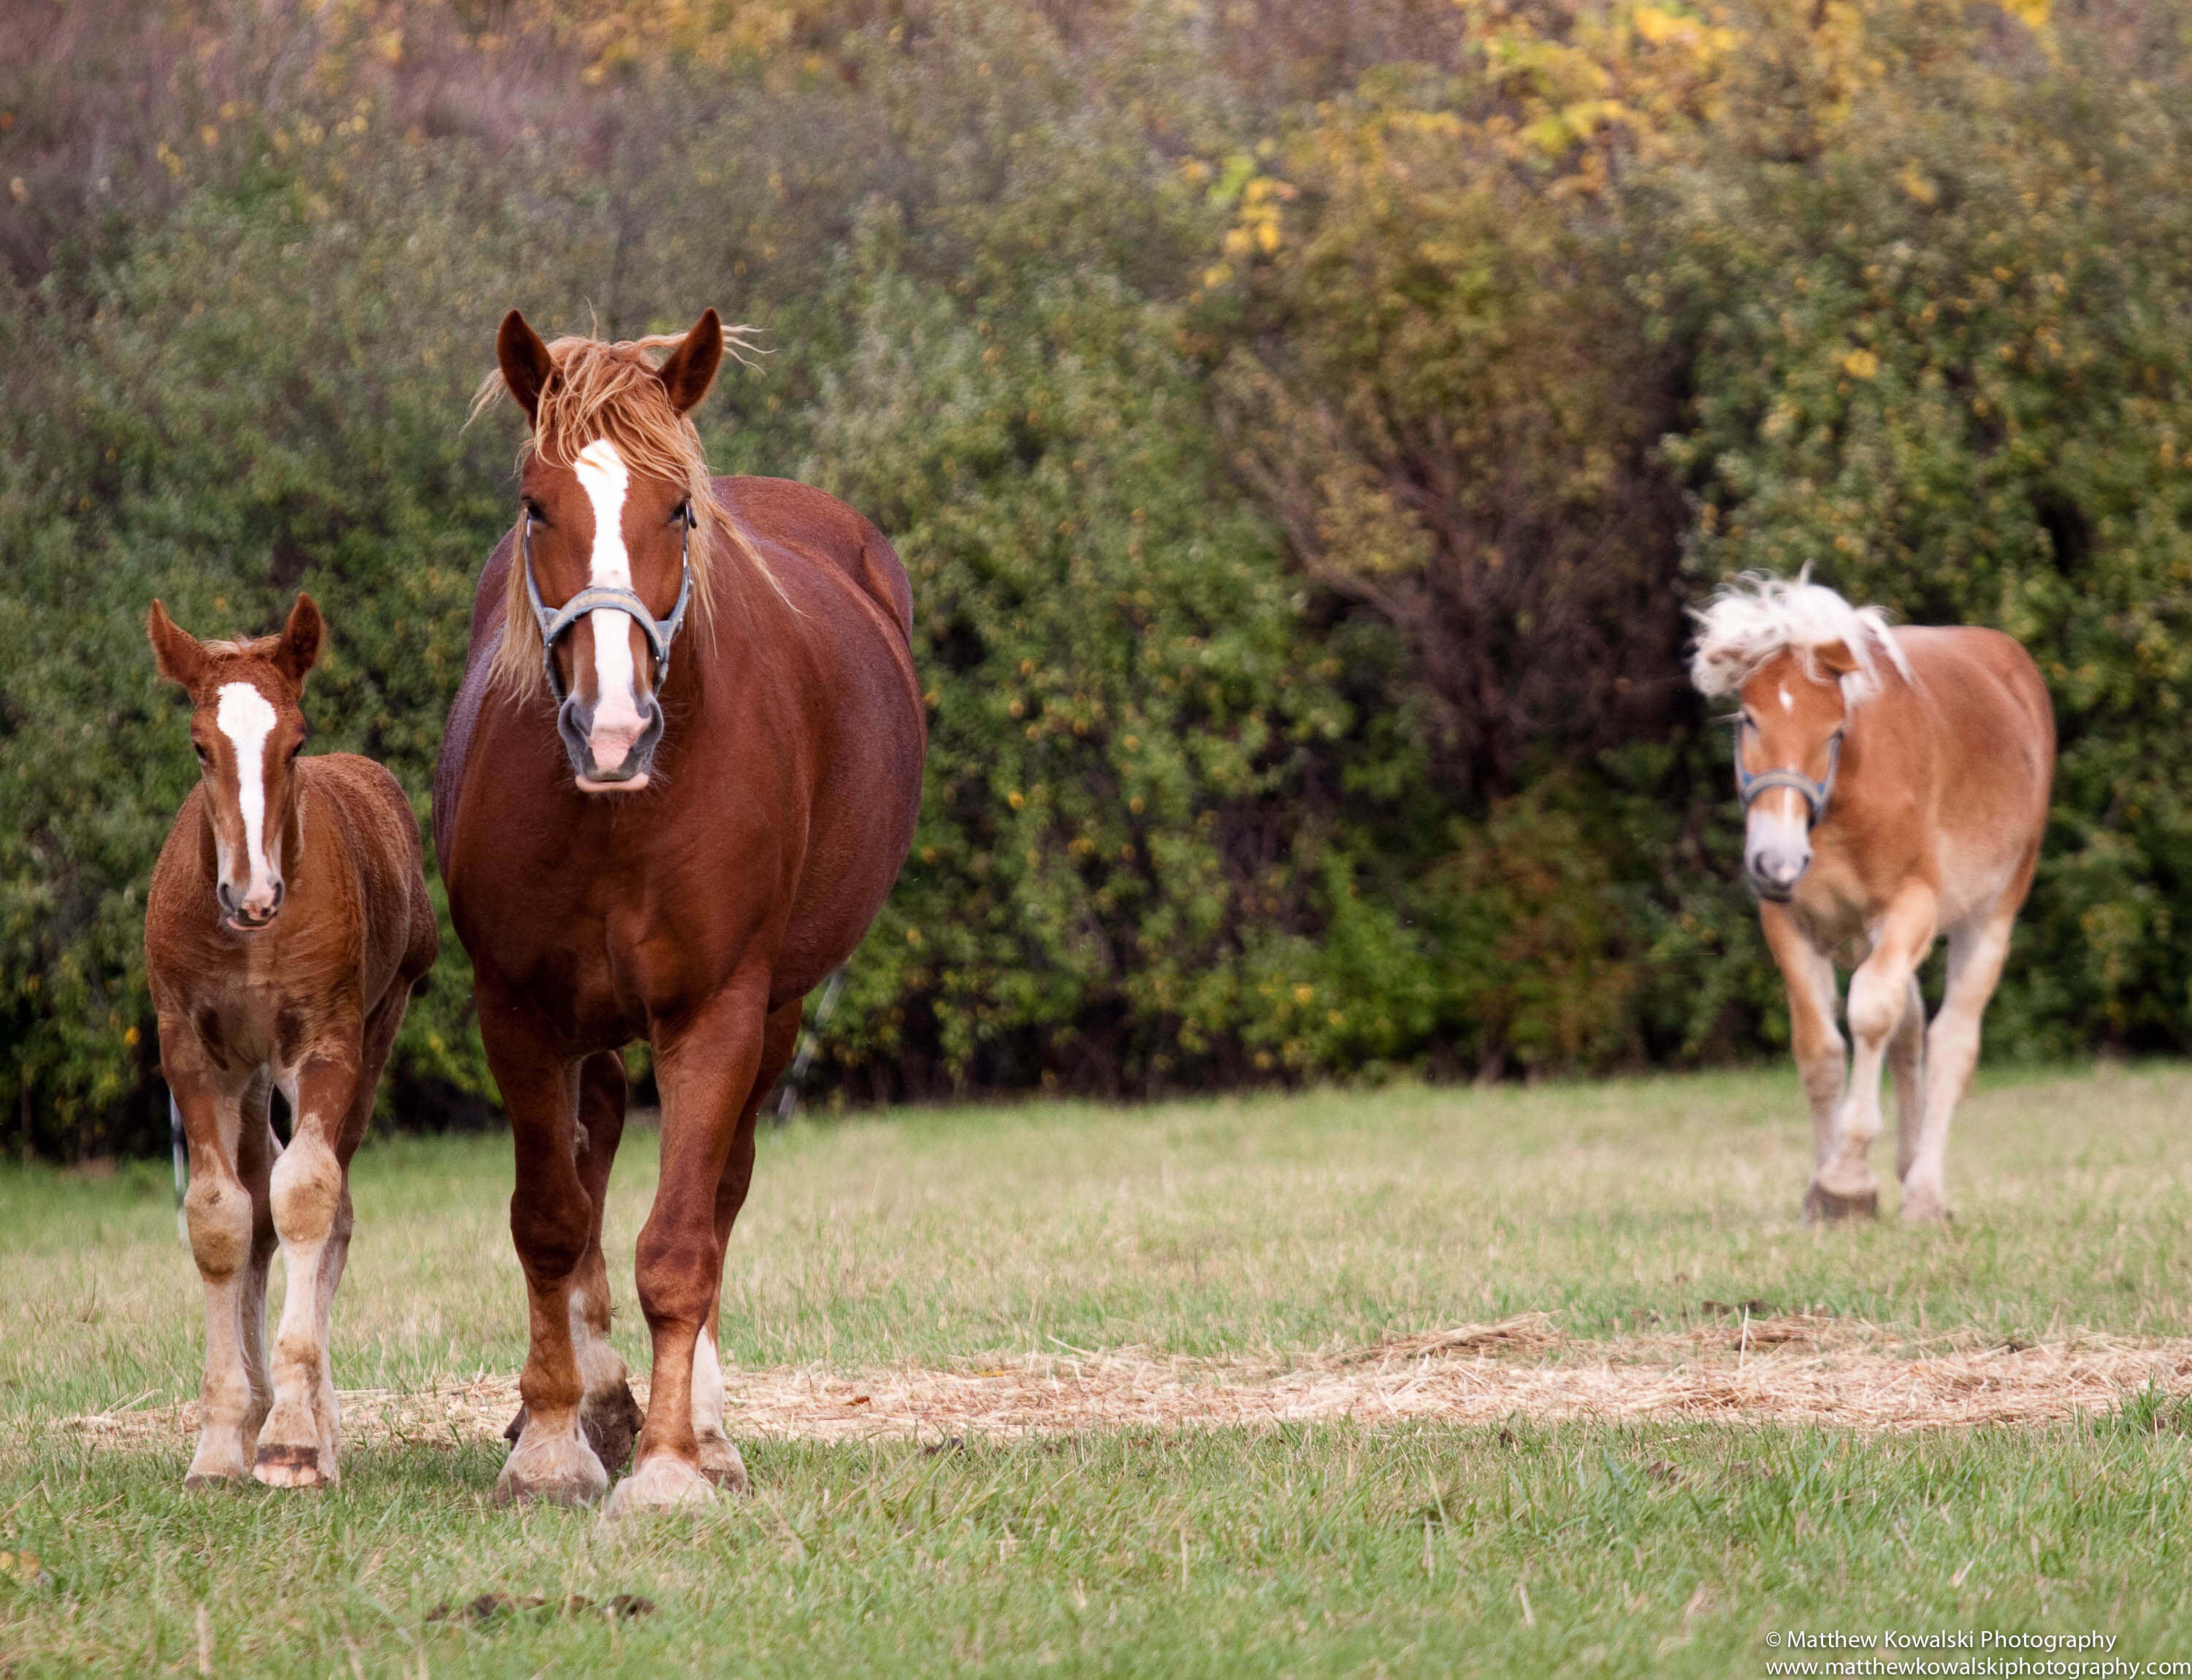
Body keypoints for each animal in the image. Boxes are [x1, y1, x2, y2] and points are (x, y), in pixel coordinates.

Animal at [145, 596, 436, 1491]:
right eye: (199, 745)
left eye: (296, 742)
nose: (254, 894)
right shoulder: (194, 1055)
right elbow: (220, 1220)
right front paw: (219, 1442)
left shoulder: (328, 1046)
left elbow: (308, 1196)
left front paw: (297, 1439)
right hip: (247, 1078)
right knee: (256, 1200)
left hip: (376, 1031)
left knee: (327, 1206)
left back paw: (314, 1426)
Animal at [436, 309, 925, 1517]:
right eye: (536, 505)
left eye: (677, 510)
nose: (611, 727)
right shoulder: (518, 1010)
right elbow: (550, 1219)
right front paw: (552, 1442)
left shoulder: (716, 1010)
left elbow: (680, 1242)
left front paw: (666, 1463)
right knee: (597, 1141)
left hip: (776, 1013)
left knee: (720, 1192)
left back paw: (697, 1422)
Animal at [1692, 579, 2051, 1228]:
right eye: (1748, 720)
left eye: (1833, 731)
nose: (1777, 862)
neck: (1840, 807)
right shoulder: (1787, 921)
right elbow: (1820, 1048)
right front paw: (1825, 1191)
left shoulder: (1912, 908)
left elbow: (1870, 1015)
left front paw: (1847, 1178)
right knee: (1909, 1033)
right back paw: (1907, 1168)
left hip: (1988, 920)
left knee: (1948, 1043)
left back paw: (1924, 1193)